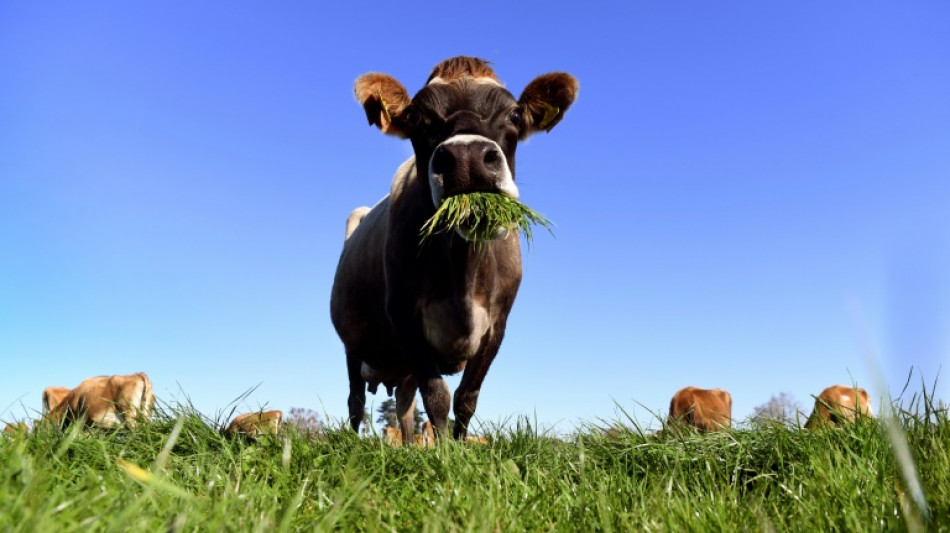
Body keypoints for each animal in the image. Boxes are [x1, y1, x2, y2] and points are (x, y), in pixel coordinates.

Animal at [330, 56, 578, 442]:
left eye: (515, 113)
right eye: (416, 116)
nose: (467, 156)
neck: (462, 275)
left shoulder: (497, 325)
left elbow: (466, 397)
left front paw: (460, 447)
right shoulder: (404, 315)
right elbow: (437, 396)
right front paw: (445, 451)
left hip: (401, 366)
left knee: (404, 403)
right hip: (353, 345)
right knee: (355, 400)